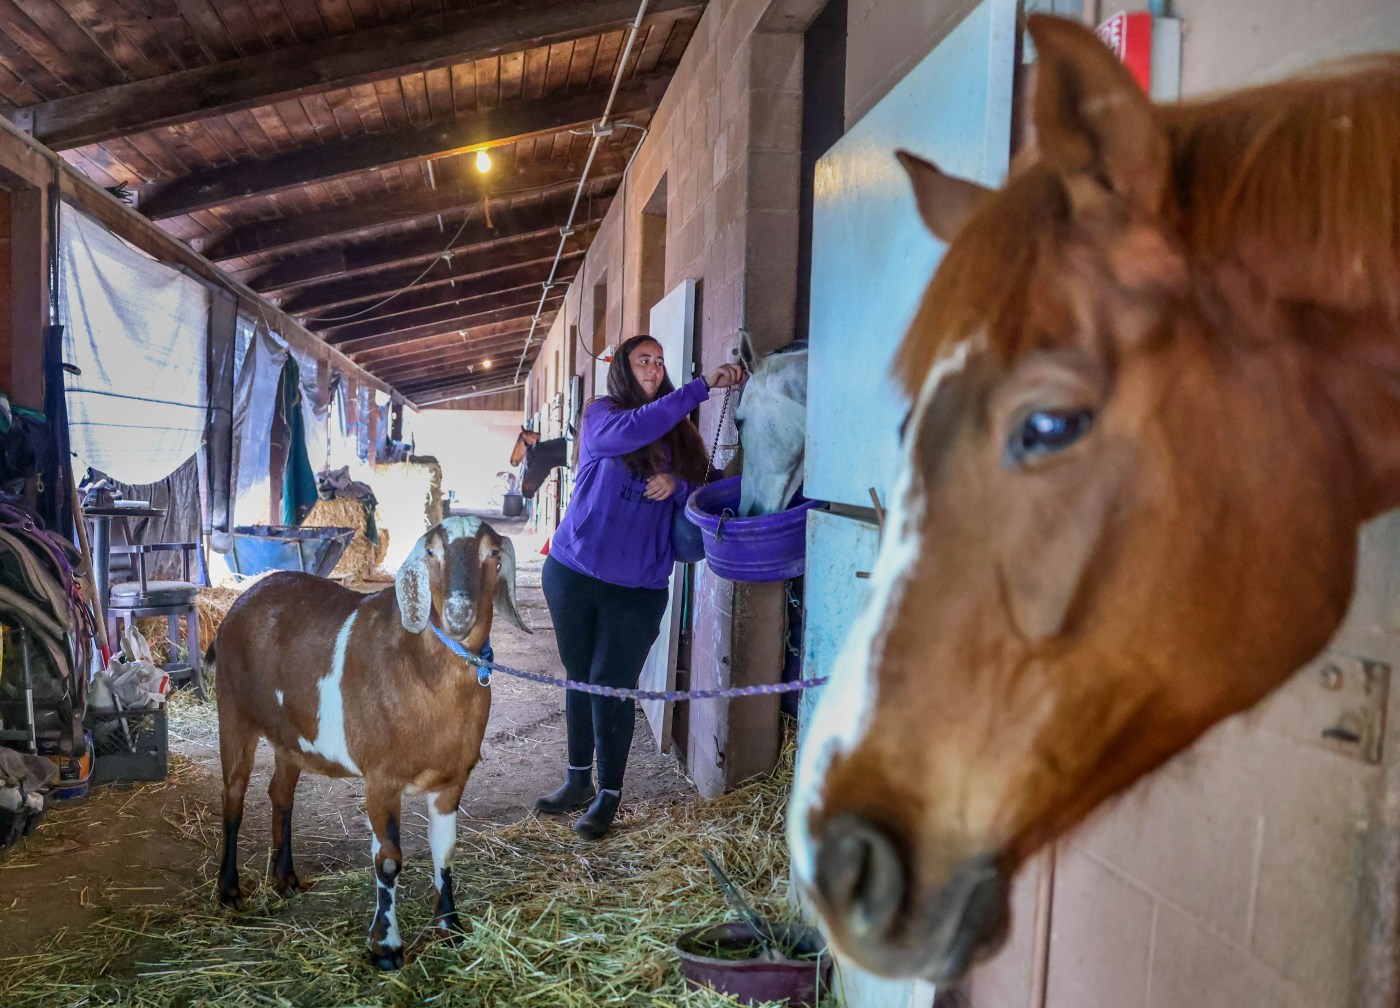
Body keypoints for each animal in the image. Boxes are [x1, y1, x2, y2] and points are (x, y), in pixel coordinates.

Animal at [210, 515, 526, 974]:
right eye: (432, 552)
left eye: (494, 554)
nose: (458, 614)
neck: (423, 670)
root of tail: (245, 597)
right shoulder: (381, 779)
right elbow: (388, 860)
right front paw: (386, 948)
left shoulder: (452, 780)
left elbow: (445, 850)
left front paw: (450, 927)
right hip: (234, 713)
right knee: (233, 797)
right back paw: (230, 891)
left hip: (292, 739)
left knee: (280, 794)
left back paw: (286, 879)